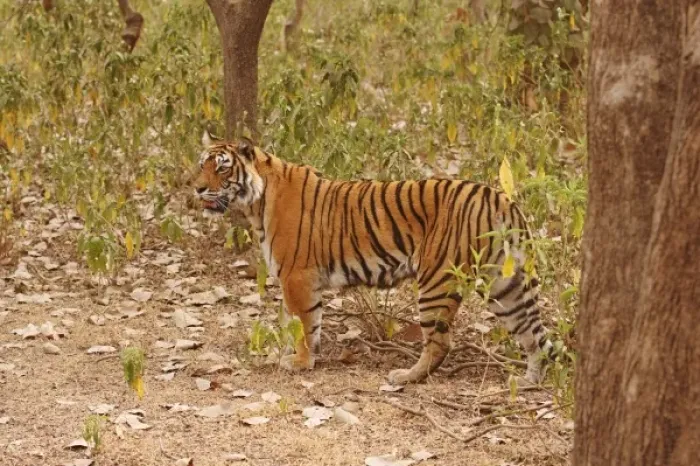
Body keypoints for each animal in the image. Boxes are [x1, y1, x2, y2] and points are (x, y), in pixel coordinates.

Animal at [194, 131, 552, 385]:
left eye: (222, 167)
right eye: (202, 165)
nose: (196, 189)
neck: (256, 202)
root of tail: (501, 198)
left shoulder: (297, 276)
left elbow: (304, 323)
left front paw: (300, 362)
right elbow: (295, 322)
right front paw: (290, 355)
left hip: (437, 281)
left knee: (440, 343)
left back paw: (405, 377)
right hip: (506, 284)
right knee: (534, 334)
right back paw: (530, 381)